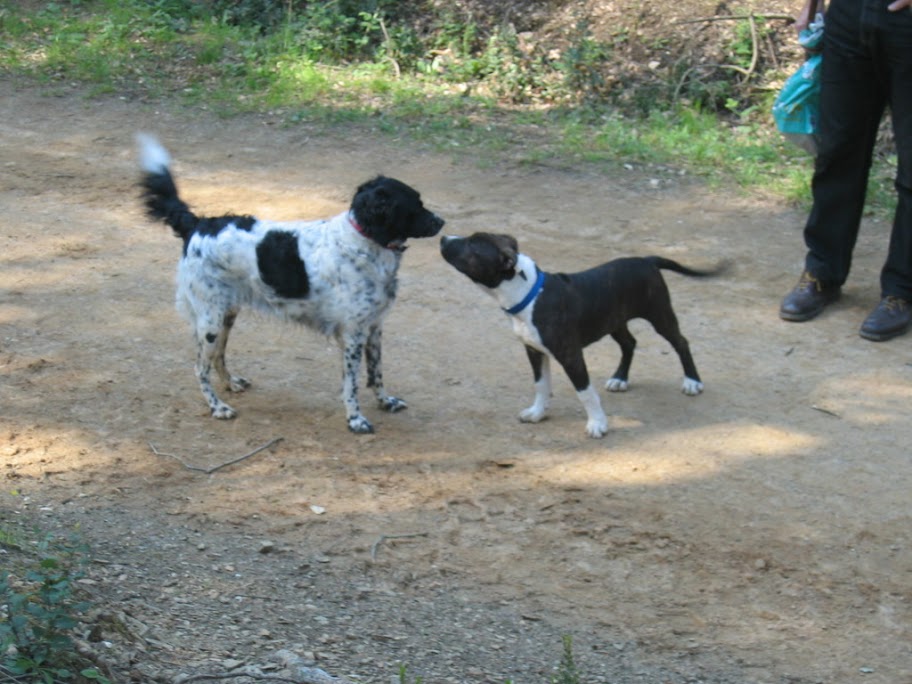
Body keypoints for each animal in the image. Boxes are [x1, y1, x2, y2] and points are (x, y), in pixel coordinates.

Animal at [136, 134, 446, 432]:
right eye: (414, 205)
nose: (441, 222)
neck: (364, 240)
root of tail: (198, 224)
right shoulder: (352, 334)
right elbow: (352, 384)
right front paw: (355, 419)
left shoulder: (374, 327)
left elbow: (377, 373)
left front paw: (385, 402)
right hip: (210, 320)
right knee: (199, 367)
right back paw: (217, 407)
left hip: (226, 315)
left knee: (216, 357)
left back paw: (231, 383)